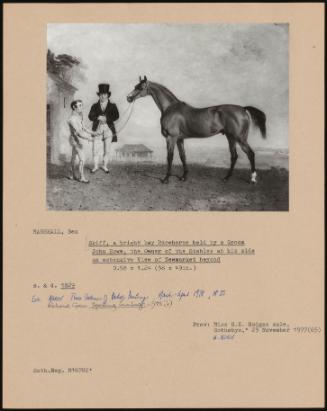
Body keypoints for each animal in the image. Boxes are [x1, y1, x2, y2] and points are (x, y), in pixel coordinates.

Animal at [127, 76, 268, 185]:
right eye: (135, 86)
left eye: (140, 87)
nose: (128, 98)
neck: (171, 108)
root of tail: (243, 109)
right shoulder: (180, 139)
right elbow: (183, 156)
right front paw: (183, 177)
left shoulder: (171, 138)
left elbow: (170, 157)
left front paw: (166, 179)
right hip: (230, 137)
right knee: (234, 156)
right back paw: (226, 178)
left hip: (240, 138)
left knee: (250, 154)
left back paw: (253, 179)